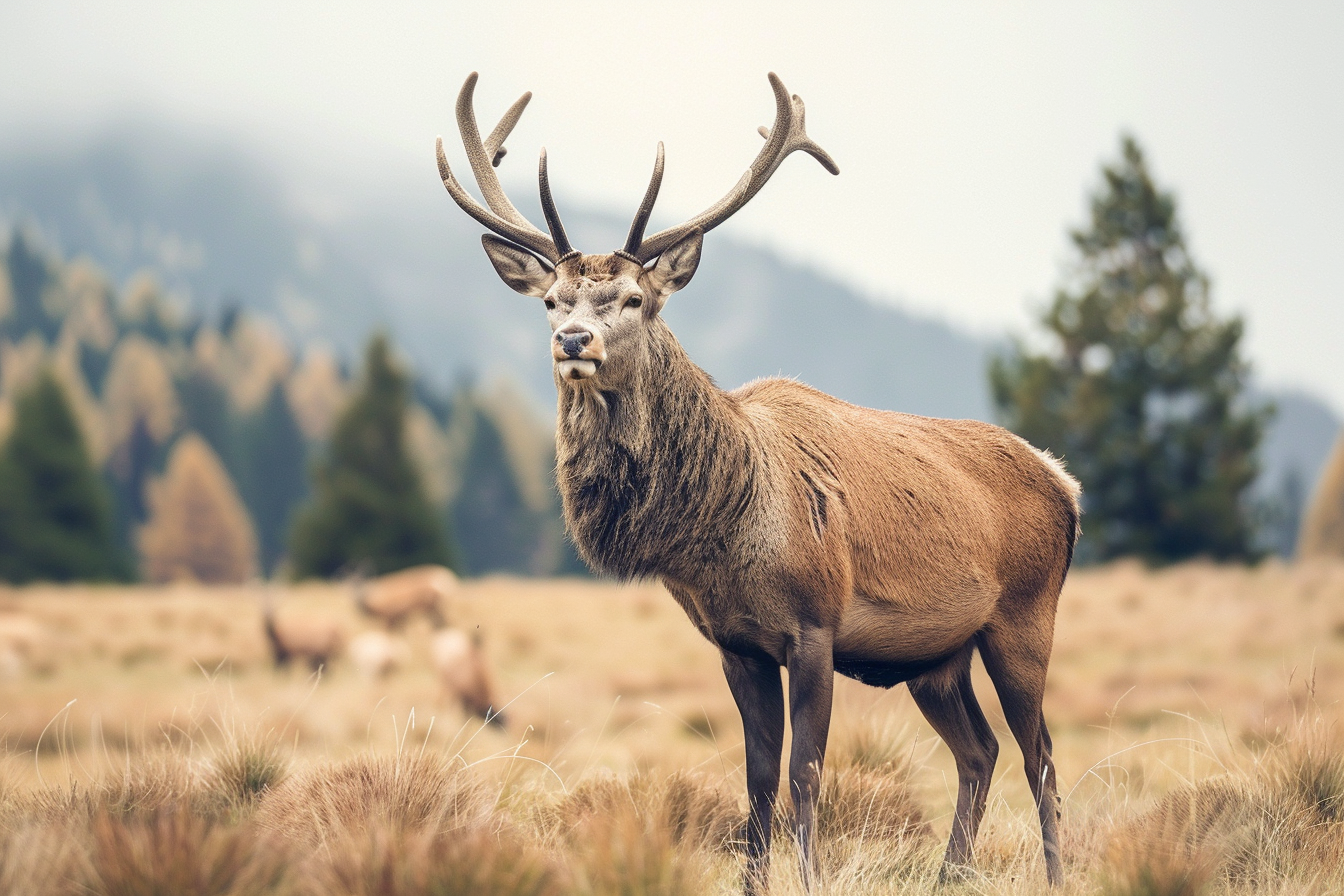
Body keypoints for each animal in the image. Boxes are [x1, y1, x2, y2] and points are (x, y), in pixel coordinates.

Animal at [435, 71, 1080, 893]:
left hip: (1024, 617)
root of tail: (1064, 483)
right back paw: (949, 875)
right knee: (981, 751)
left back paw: (1055, 873)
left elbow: (806, 772)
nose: (573, 341)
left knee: (1041, 754)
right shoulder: (735, 643)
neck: (723, 531)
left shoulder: (815, 626)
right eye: (552, 300)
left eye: (635, 300)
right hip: (937, 656)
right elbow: (758, 777)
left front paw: (810, 877)